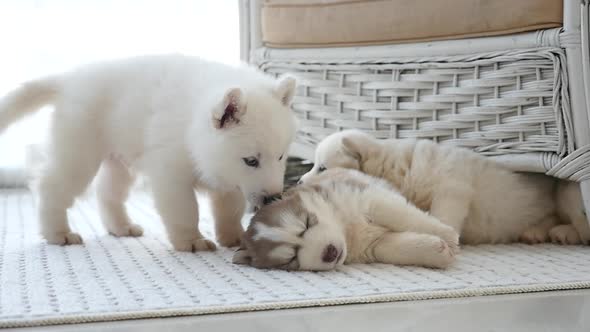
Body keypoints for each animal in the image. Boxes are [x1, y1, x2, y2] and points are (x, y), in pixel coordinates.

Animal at [0, 55, 298, 252]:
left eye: (281, 157)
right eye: (251, 160)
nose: (273, 197)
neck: (192, 129)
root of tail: (68, 81)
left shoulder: (230, 179)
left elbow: (230, 209)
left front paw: (233, 236)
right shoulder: (171, 173)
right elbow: (184, 209)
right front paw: (191, 241)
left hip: (119, 160)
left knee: (108, 193)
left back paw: (121, 227)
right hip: (79, 150)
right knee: (52, 186)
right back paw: (58, 233)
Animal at [234, 169, 460, 270]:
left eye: (306, 223)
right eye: (291, 259)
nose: (330, 252)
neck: (346, 228)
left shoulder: (370, 199)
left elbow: (405, 216)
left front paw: (448, 237)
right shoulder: (373, 245)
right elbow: (394, 248)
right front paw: (437, 251)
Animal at [302, 130, 588, 246]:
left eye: (322, 168)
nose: (299, 181)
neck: (398, 167)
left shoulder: (453, 186)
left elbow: (443, 216)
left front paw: (444, 233)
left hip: (568, 193)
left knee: (581, 223)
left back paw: (566, 233)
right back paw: (539, 232)